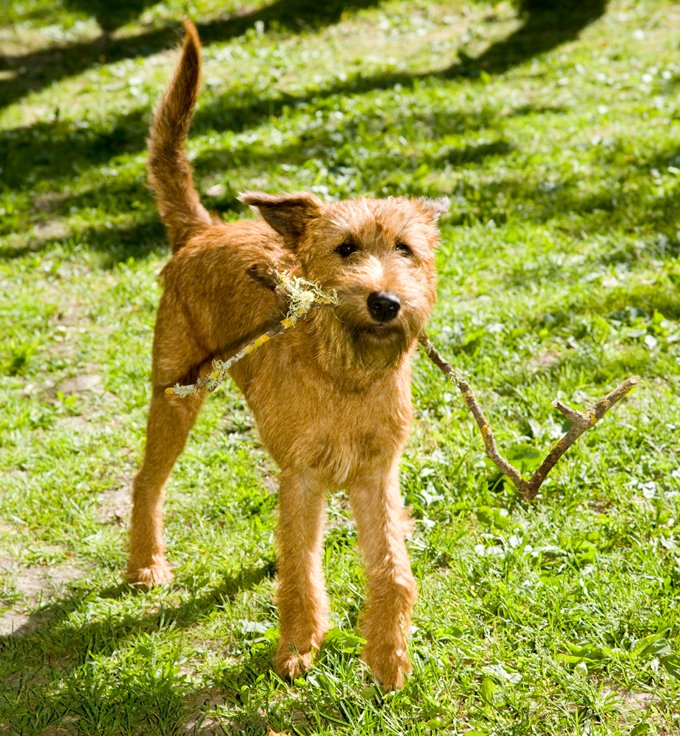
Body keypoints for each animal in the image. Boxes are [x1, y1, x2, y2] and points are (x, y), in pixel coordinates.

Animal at [127, 20, 446, 692]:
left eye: (404, 249)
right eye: (346, 248)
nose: (385, 302)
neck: (346, 375)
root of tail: (201, 231)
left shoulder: (375, 475)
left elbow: (391, 570)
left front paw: (388, 658)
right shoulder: (303, 476)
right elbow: (301, 571)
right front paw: (298, 650)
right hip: (175, 396)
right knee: (146, 482)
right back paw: (145, 565)